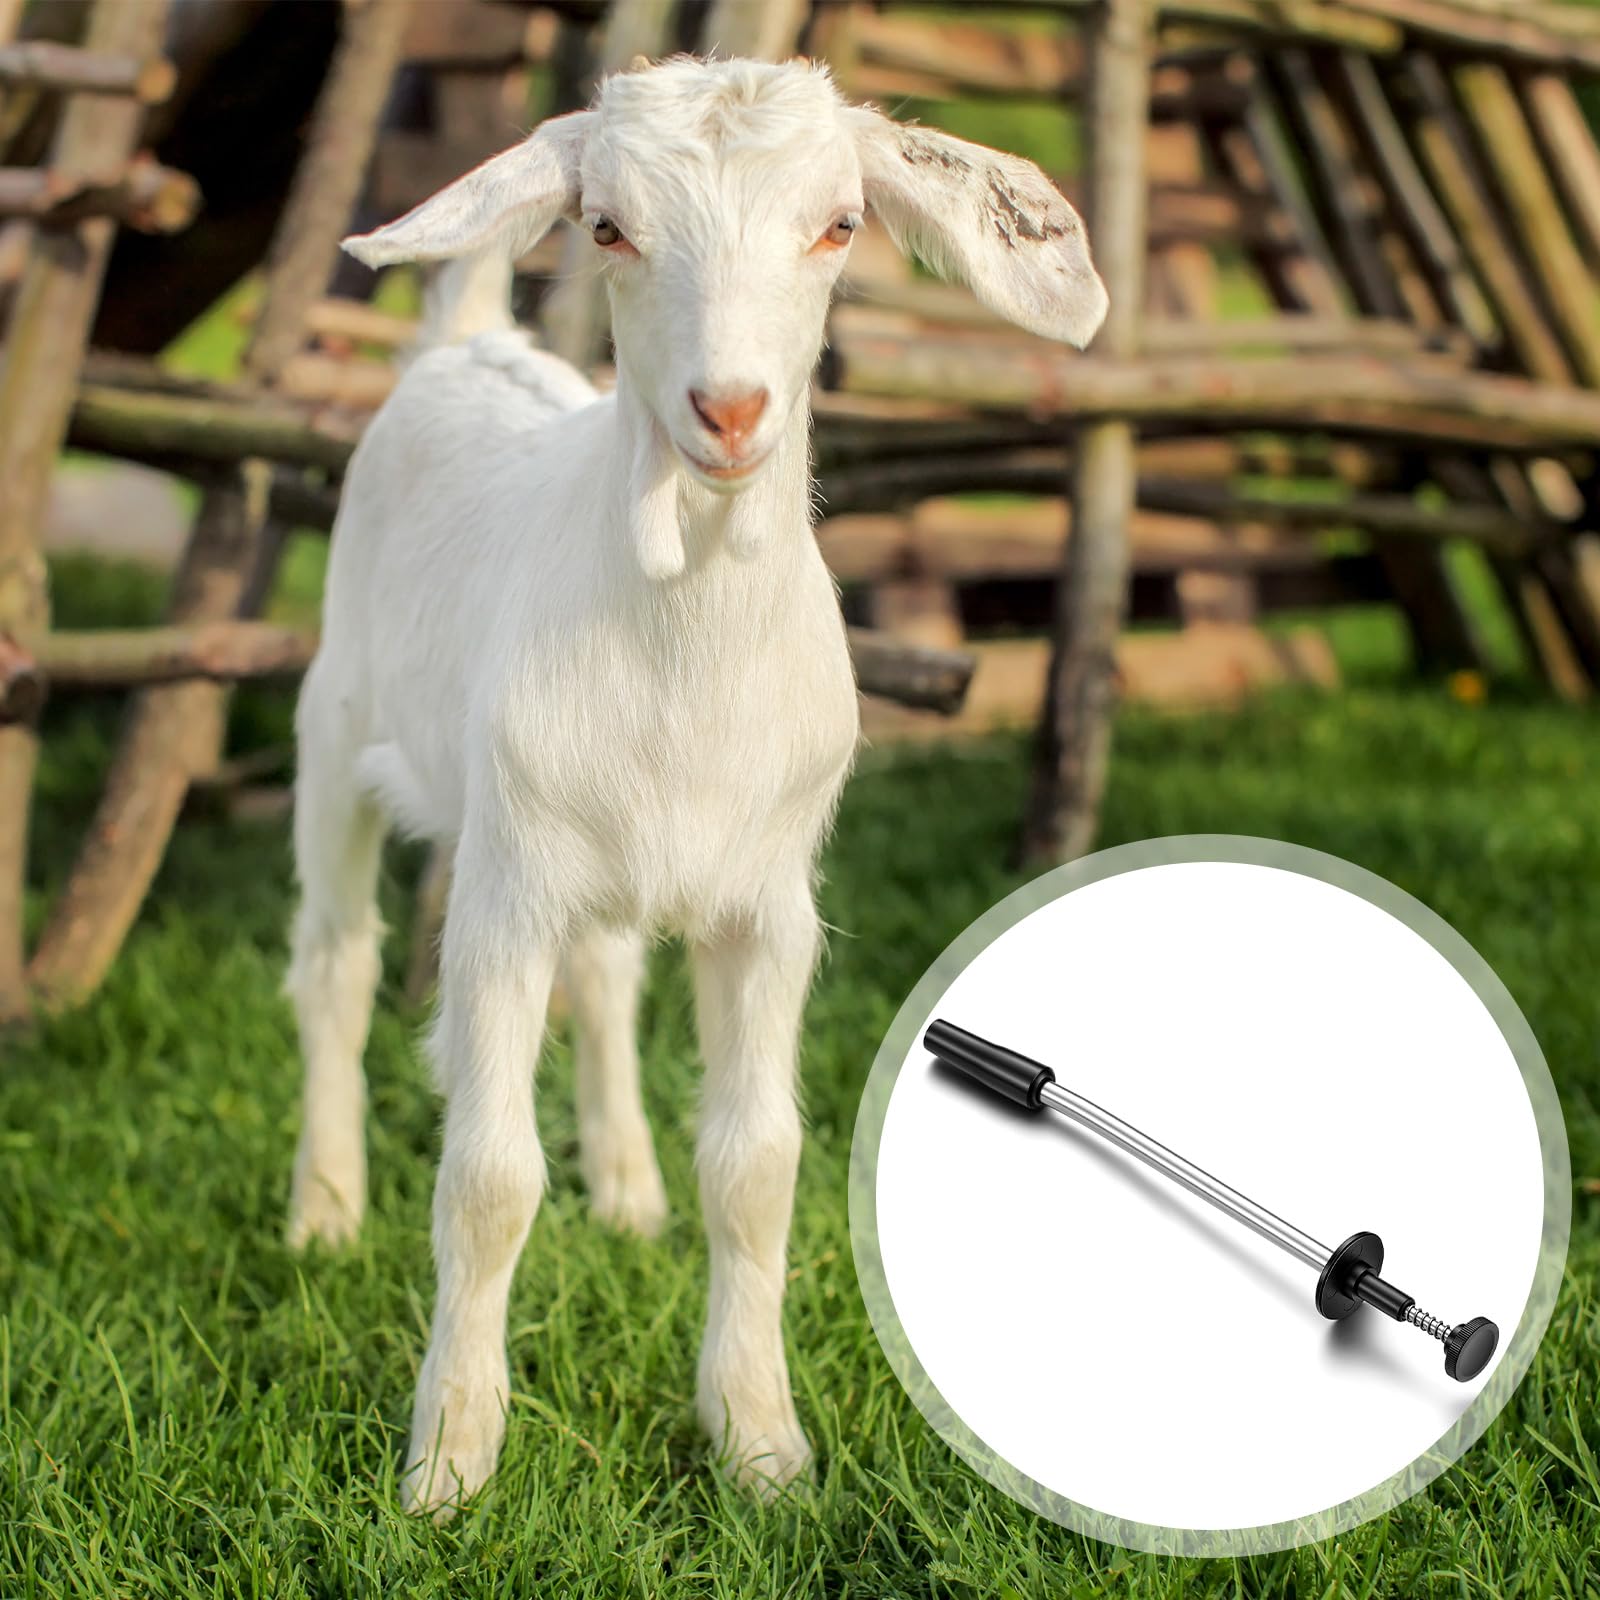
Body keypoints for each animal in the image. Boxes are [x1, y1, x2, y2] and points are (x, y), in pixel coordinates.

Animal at [286, 54, 1106, 1515]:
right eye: (609, 228)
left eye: (839, 225)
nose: (728, 412)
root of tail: (466, 344)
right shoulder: (500, 899)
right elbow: (488, 1176)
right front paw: (449, 1462)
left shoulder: (768, 908)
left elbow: (759, 1165)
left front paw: (761, 1444)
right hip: (338, 725)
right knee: (333, 958)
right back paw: (323, 1208)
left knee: (605, 974)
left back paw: (626, 1189)